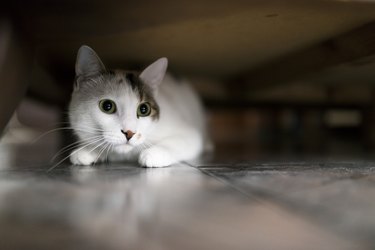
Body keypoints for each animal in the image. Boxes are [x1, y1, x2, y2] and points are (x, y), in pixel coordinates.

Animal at [67, 46, 209, 168]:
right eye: (107, 106)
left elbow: (178, 142)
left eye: (144, 109)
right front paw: (87, 150)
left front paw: (154, 153)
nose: (129, 133)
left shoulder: (190, 133)